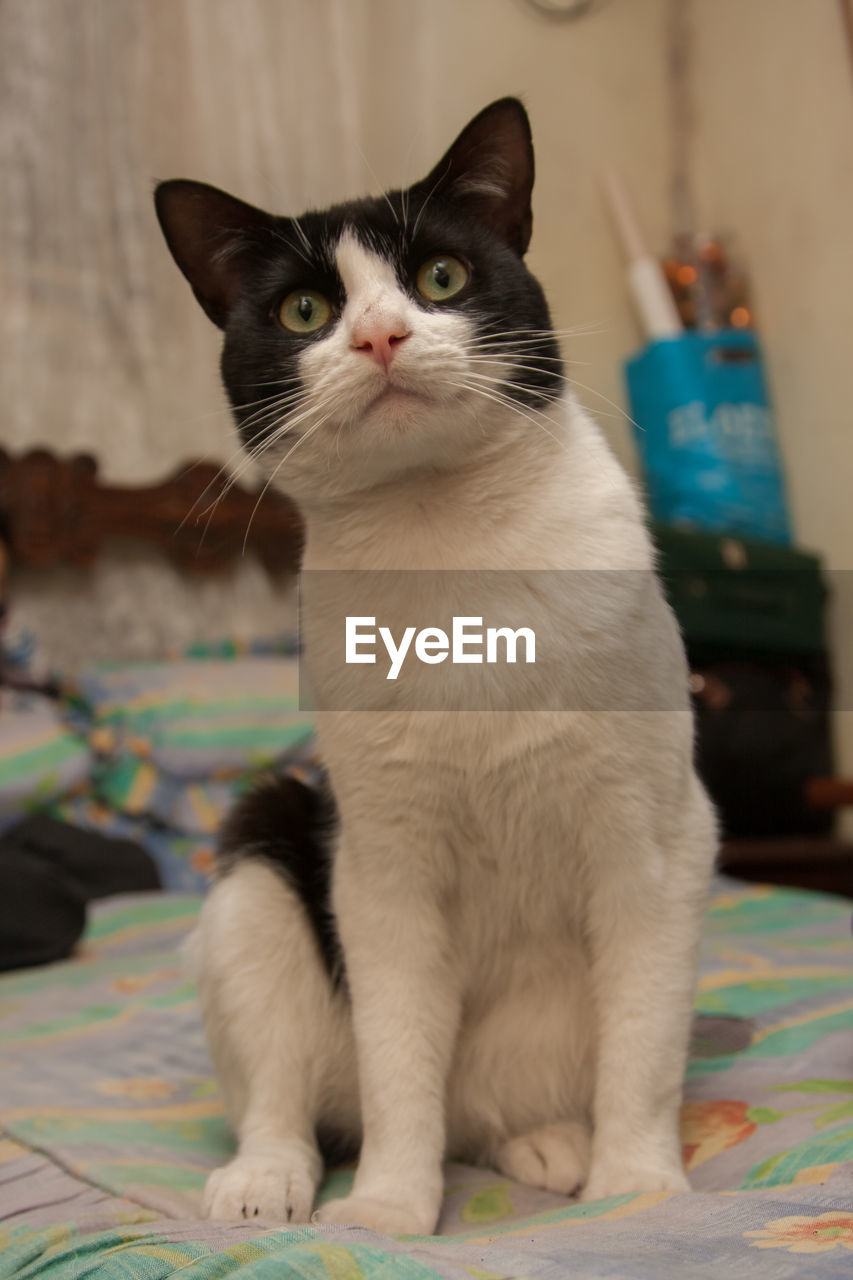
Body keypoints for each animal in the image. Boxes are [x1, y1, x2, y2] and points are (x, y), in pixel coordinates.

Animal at [156, 94, 712, 1233]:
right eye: (306, 310)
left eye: (441, 278)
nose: (379, 333)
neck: (445, 539)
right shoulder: (383, 868)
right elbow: (398, 1058)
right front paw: (385, 1210)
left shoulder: (657, 840)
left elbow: (642, 1048)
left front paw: (636, 1187)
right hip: (265, 854)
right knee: (290, 1094)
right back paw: (267, 1180)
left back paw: (552, 1144)